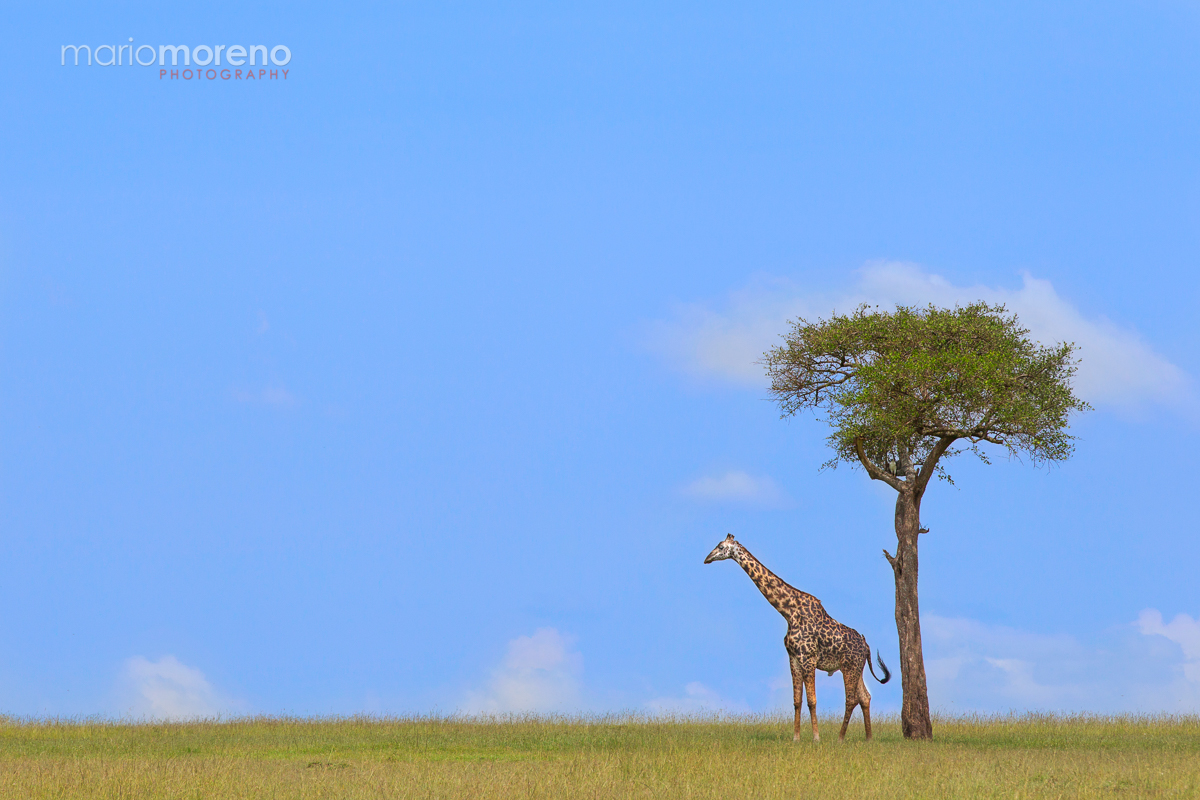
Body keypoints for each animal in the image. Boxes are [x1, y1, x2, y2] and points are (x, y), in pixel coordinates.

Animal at [704, 534, 891, 742]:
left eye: (721, 547)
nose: (707, 558)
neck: (788, 612)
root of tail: (866, 646)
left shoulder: (808, 658)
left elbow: (812, 700)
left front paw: (816, 738)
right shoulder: (793, 658)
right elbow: (797, 701)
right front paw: (796, 738)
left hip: (850, 666)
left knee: (851, 699)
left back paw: (840, 738)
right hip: (855, 667)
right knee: (865, 696)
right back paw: (869, 738)